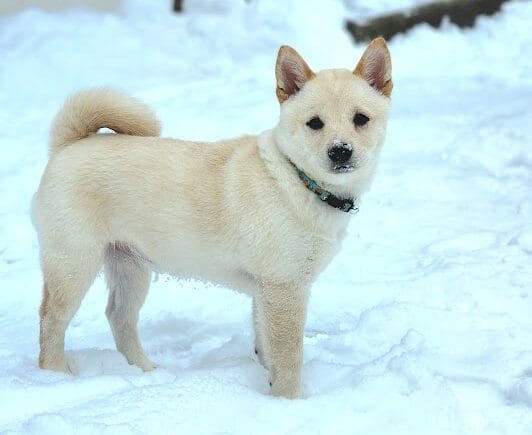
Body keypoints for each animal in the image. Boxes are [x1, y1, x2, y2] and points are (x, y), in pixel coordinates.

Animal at [32, 37, 390, 398]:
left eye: (361, 119)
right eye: (315, 123)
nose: (340, 150)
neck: (297, 180)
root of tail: (67, 146)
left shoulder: (265, 291)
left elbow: (266, 346)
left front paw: (269, 382)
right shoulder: (284, 288)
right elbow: (289, 356)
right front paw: (288, 399)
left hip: (129, 266)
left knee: (119, 317)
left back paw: (145, 371)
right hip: (73, 264)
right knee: (51, 320)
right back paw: (55, 375)